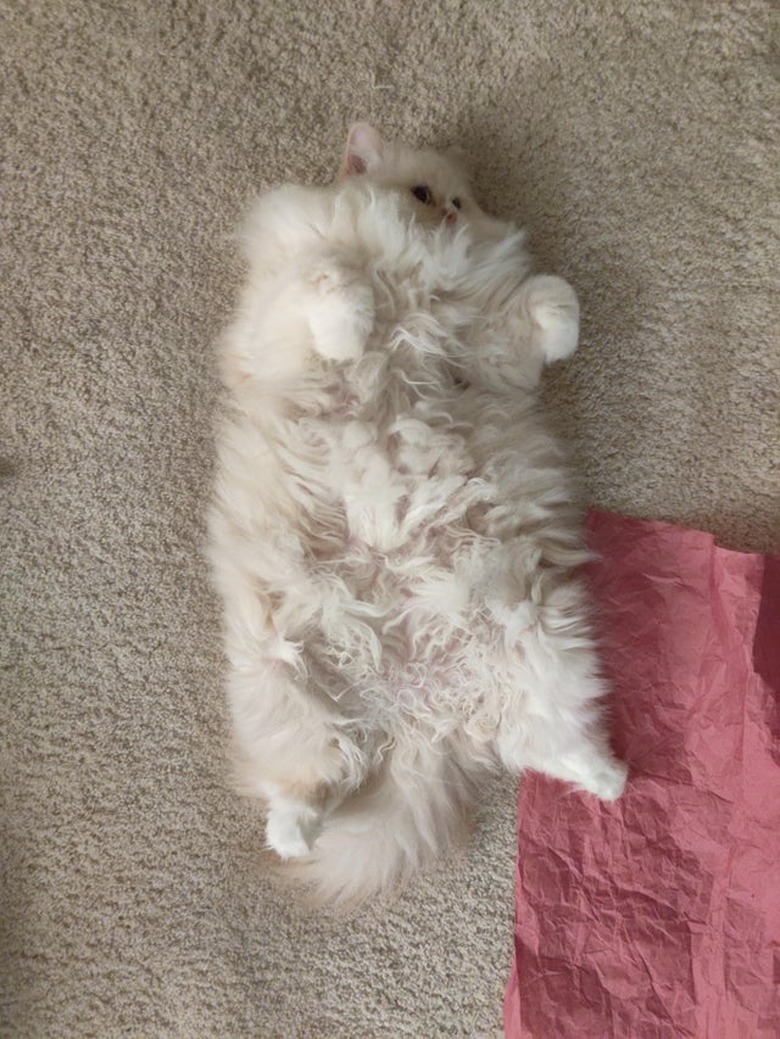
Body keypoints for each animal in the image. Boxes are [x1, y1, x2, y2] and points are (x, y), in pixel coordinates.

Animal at [208, 119, 627, 901]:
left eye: (460, 199)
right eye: (424, 194)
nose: (452, 215)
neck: (417, 278)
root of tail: (414, 717)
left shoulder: (493, 357)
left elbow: (547, 307)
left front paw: (557, 307)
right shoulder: (285, 307)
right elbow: (334, 286)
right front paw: (356, 321)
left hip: (544, 650)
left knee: (554, 747)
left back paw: (615, 779)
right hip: (285, 687)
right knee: (305, 791)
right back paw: (291, 839)